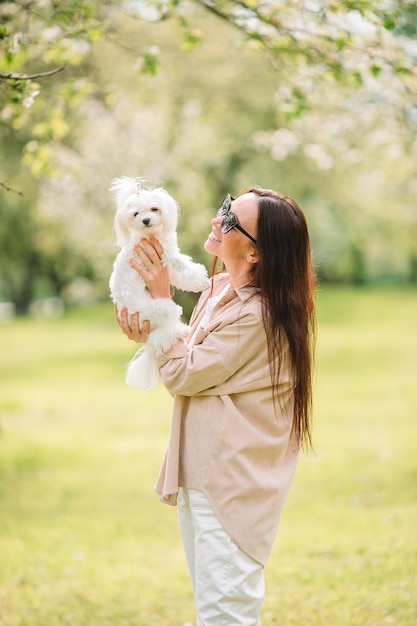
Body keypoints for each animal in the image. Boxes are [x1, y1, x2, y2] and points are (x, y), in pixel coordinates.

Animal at [109, 177, 210, 390]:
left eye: (154, 209)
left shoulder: (167, 262)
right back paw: (182, 331)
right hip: (162, 309)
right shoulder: (168, 257)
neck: (150, 236)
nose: (146, 220)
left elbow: (181, 275)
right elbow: (185, 268)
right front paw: (201, 280)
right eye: (136, 213)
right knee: (164, 335)